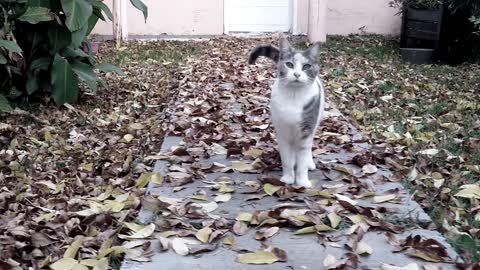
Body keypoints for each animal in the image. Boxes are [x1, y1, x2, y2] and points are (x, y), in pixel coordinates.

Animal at [248, 35, 326, 188]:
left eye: (306, 66)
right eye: (289, 64)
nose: (296, 74)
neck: (293, 97)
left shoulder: (306, 131)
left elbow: (302, 161)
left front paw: (302, 181)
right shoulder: (283, 133)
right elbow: (287, 160)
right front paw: (288, 178)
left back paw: (309, 163)